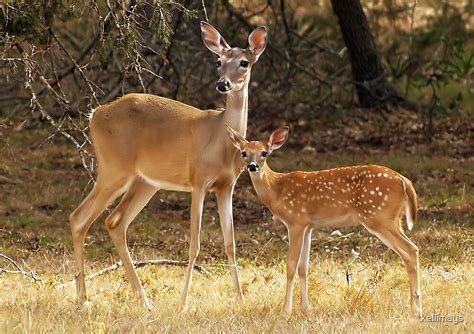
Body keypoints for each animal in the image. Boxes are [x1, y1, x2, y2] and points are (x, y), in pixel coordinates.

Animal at [68, 22, 266, 310]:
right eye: (218, 61)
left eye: (244, 62)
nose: (223, 84)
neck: (222, 140)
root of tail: (94, 114)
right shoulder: (198, 181)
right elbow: (194, 244)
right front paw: (183, 303)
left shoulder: (226, 186)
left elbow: (230, 242)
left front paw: (240, 300)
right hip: (114, 169)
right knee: (79, 217)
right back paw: (84, 298)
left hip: (145, 182)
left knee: (115, 221)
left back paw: (141, 300)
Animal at [226, 125, 422, 318]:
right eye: (244, 153)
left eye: (264, 153)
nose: (252, 166)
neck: (277, 190)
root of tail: (405, 182)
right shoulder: (308, 226)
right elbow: (303, 267)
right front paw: (305, 309)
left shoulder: (295, 221)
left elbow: (291, 265)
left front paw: (285, 312)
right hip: (391, 219)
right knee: (410, 250)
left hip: (379, 216)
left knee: (411, 249)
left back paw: (416, 311)